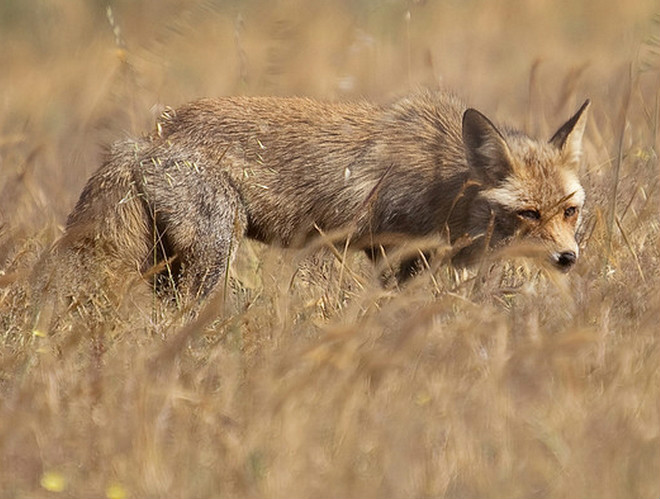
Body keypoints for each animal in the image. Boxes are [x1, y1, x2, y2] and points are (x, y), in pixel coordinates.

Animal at [47, 88, 592, 310]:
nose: (569, 259)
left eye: (570, 211)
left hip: (172, 260)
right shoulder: (396, 253)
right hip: (213, 254)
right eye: (528, 213)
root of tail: (149, 137)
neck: (447, 185)